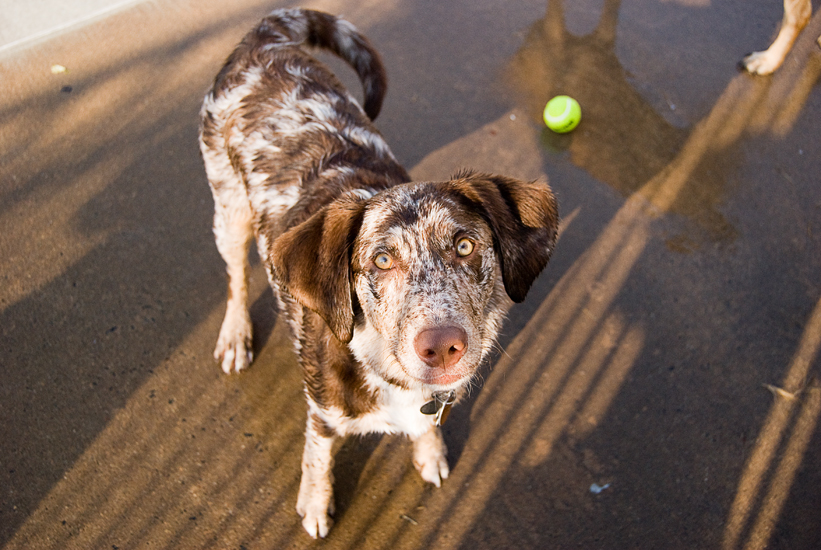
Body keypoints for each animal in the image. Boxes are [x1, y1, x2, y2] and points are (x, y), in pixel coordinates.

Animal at [199, 7, 556, 540]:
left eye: (465, 246)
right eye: (381, 261)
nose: (442, 346)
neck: (391, 375)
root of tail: (265, 40)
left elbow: (427, 428)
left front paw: (429, 451)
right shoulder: (323, 411)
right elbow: (317, 454)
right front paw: (315, 502)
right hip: (230, 208)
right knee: (236, 277)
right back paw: (236, 334)